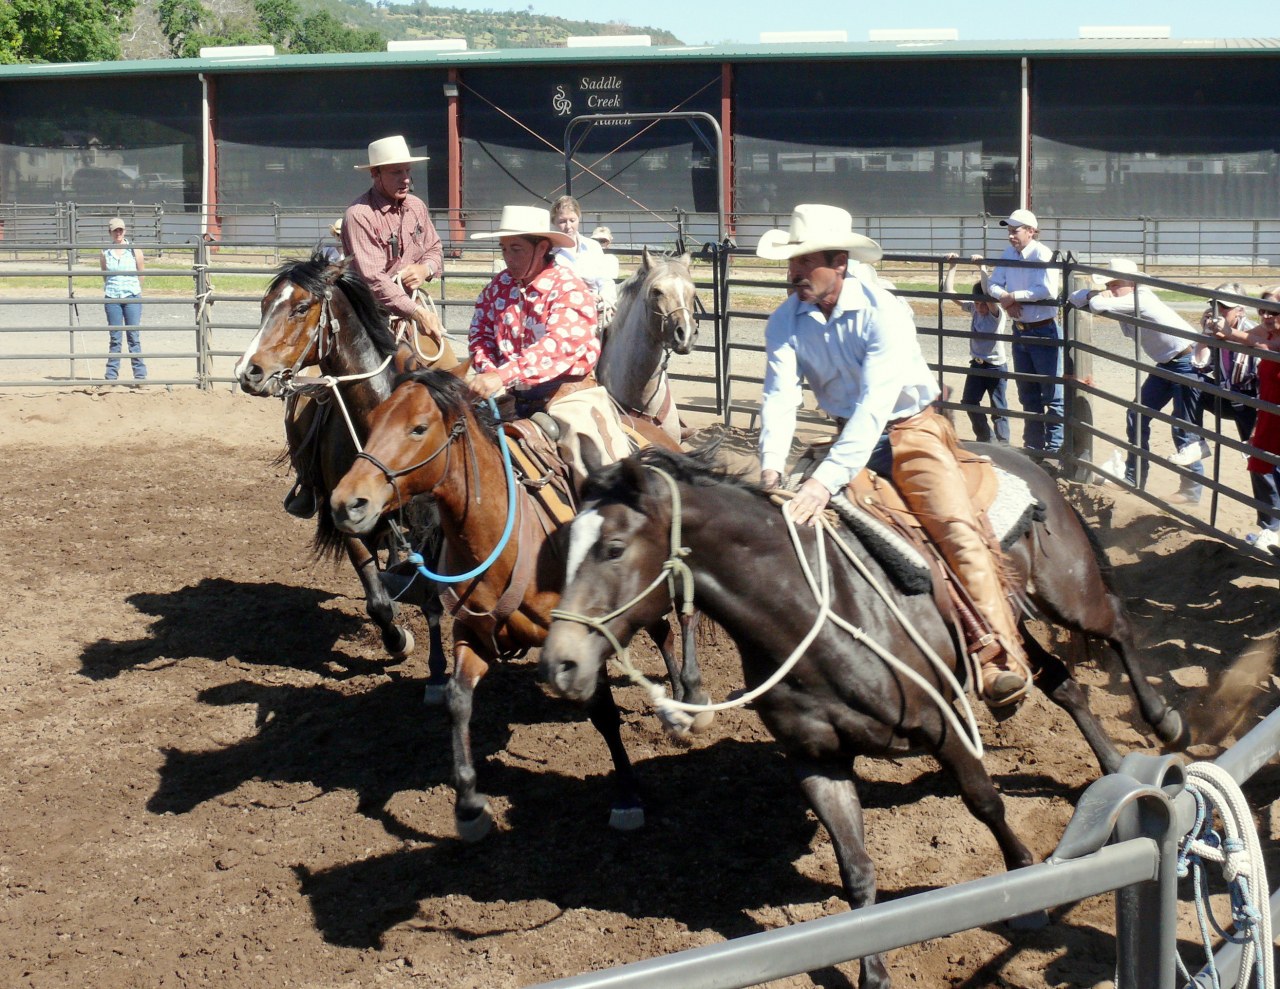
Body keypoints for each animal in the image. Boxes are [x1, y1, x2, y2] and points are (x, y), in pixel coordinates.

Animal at [236, 250, 455, 690]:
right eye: (264, 306)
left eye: (301, 307)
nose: (249, 372)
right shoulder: (348, 522)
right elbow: (377, 602)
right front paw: (397, 640)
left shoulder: (426, 525)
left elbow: (430, 597)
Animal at [327, 371, 711, 839]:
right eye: (374, 421)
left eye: (418, 427)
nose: (346, 503)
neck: (501, 538)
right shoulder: (472, 634)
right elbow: (458, 701)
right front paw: (469, 805)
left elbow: (603, 711)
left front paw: (626, 798)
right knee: (663, 630)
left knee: (684, 616)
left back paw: (692, 697)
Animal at [537, 442, 1187, 987]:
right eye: (562, 550)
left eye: (614, 548)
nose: (560, 663)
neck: (813, 615)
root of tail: (1023, 458)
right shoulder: (817, 762)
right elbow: (856, 870)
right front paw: (872, 971)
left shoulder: (945, 726)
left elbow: (985, 802)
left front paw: (1024, 885)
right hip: (1010, 622)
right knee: (1064, 685)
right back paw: (1110, 764)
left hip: (1067, 593)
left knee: (1118, 627)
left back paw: (1166, 722)